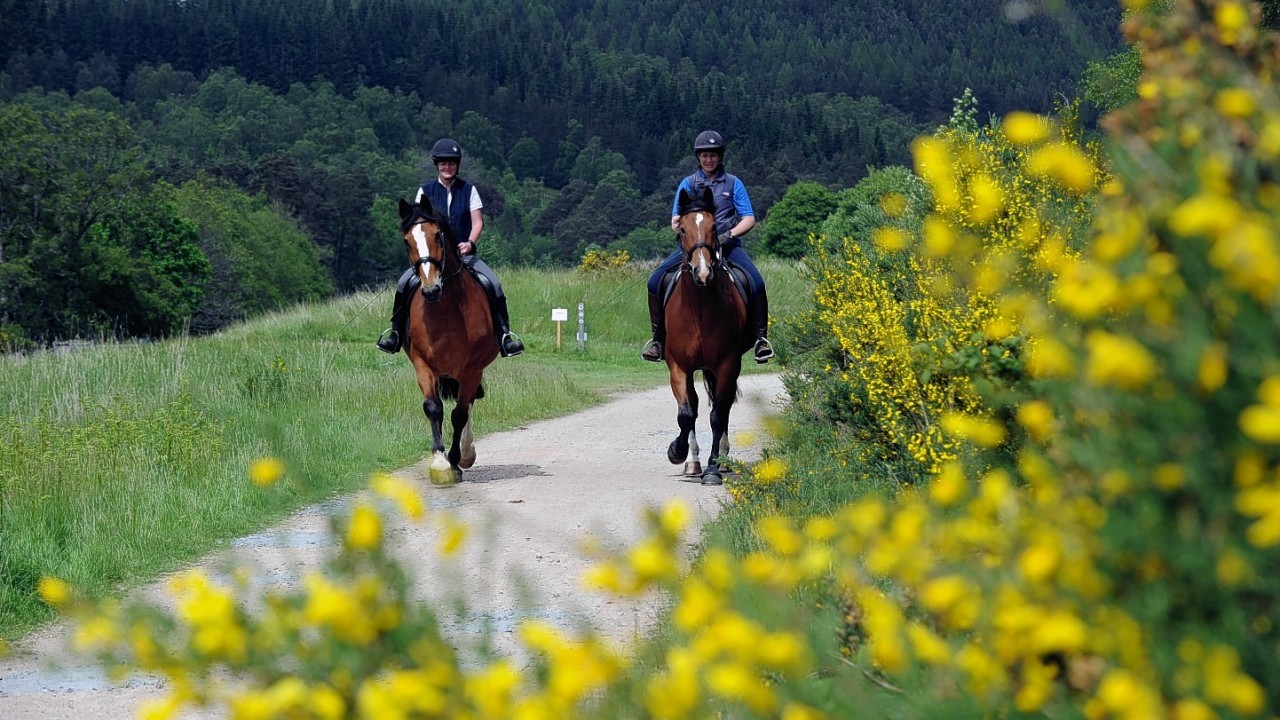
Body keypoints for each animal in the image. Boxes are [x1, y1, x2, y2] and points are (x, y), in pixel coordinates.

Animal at [396, 196, 496, 484]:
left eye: (438, 235)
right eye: (406, 241)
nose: (431, 289)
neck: (444, 310)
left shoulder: (472, 368)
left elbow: (459, 413)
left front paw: (455, 460)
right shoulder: (422, 364)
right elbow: (434, 408)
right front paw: (440, 461)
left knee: (468, 404)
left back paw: (466, 454)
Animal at [665, 184, 752, 481]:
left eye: (714, 228)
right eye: (682, 229)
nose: (702, 273)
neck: (700, 308)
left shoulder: (727, 363)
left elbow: (717, 415)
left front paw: (713, 468)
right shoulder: (678, 366)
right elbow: (686, 413)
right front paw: (679, 452)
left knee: (722, 409)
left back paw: (723, 460)